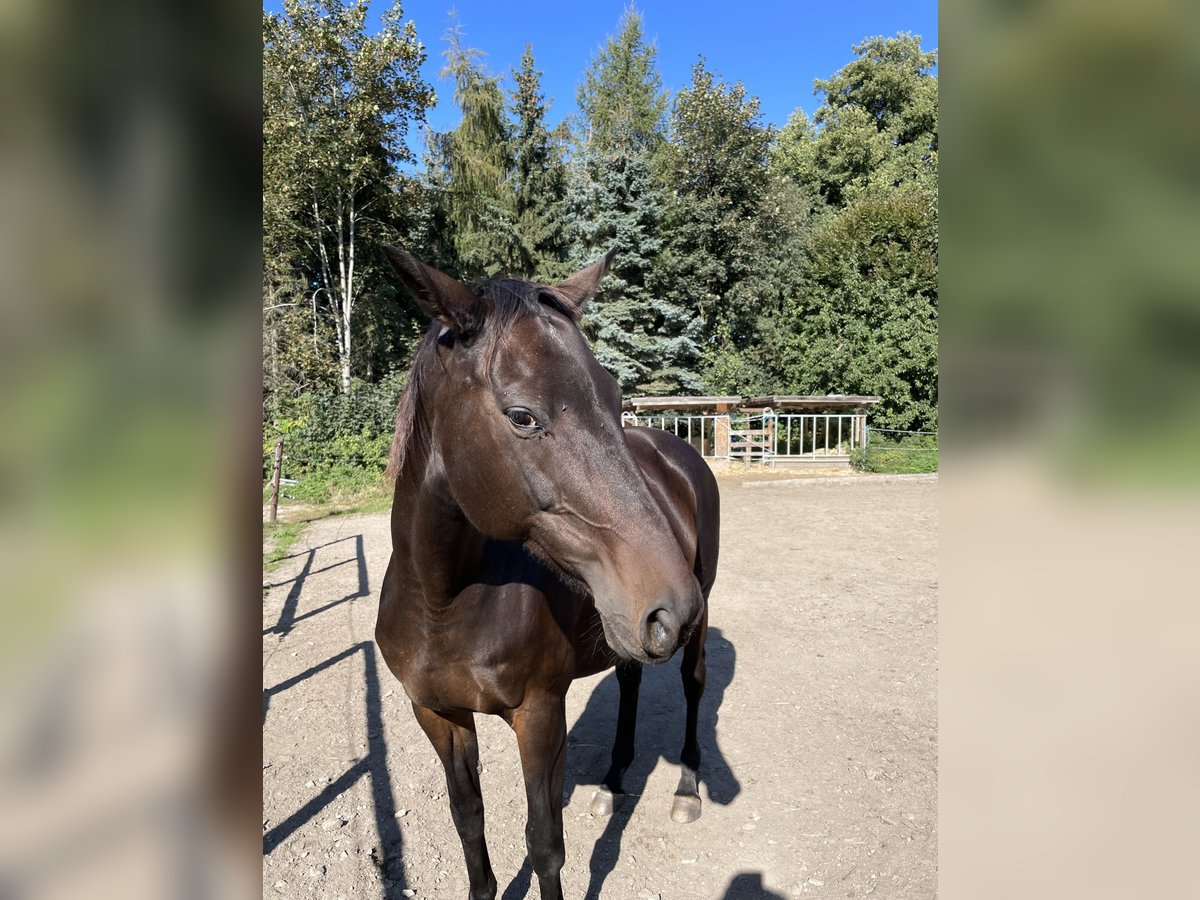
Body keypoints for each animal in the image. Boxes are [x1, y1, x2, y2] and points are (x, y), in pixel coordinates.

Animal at [374, 248, 715, 900]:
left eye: (614, 399)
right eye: (522, 417)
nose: (671, 605)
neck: (443, 603)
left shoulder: (538, 715)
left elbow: (544, 843)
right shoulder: (438, 715)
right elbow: (469, 823)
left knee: (693, 684)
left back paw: (687, 789)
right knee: (630, 679)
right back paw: (612, 783)